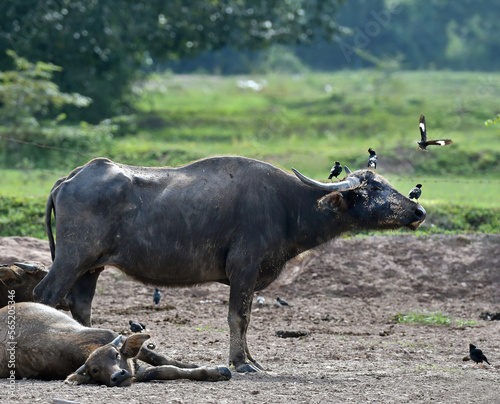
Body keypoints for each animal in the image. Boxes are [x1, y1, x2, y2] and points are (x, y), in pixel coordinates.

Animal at [0, 304, 230, 386]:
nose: (118, 375)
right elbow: (165, 371)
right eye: (94, 370)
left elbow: (164, 363)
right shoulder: (136, 373)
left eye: (116, 355)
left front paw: (215, 370)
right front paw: (213, 372)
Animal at [34, 155, 426, 372]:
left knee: (81, 307)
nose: (418, 210)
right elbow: (238, 316)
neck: (288, 205)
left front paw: (252, 360)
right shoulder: (244, 269)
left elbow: (247, 319)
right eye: (372, 190)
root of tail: (71, 178)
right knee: (46, 294)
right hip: (71, 259)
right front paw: (241, 363)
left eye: (386, 184)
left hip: (90, 268)